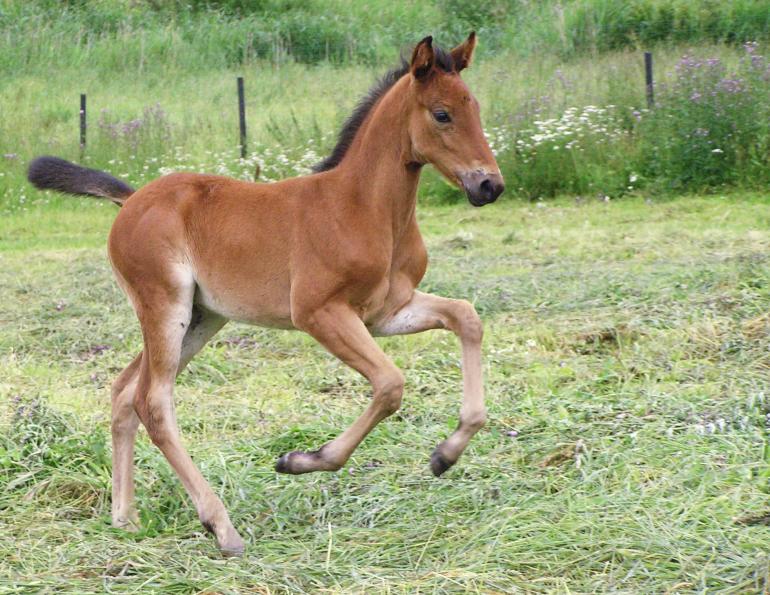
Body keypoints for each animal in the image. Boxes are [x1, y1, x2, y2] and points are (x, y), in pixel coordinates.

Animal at [27, 33, 504, 556]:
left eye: (475, 107)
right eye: (441, 114)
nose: (489, 184)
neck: (363, 208)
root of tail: (132, 200)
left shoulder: (386, 311)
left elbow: (466, 317)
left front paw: (445, 454)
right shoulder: (319, 313)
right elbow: (389, 384)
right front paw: (301, 460)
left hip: (201, 317)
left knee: (124, 391)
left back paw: (125, 517)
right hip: (165, 306)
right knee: (153, 402)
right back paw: (221, 527)